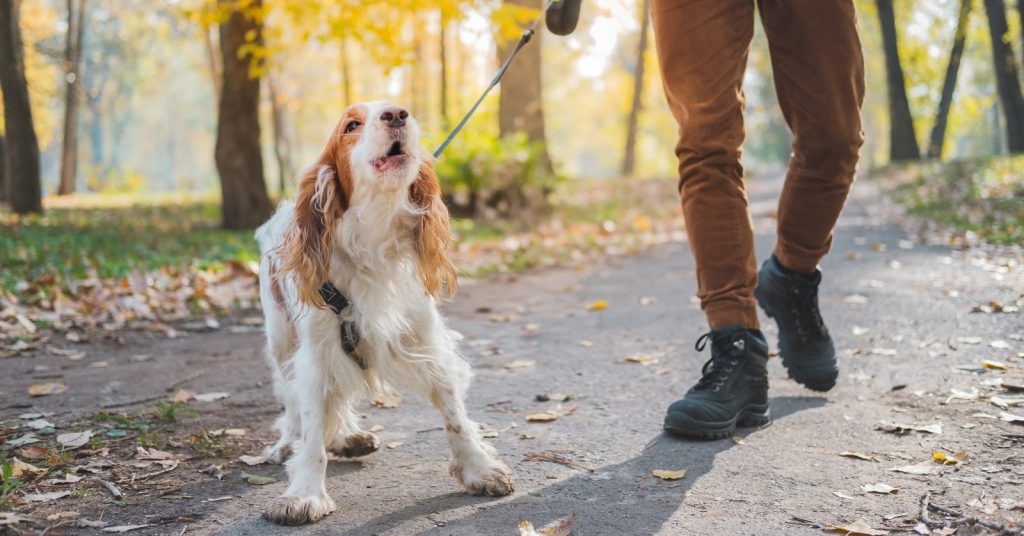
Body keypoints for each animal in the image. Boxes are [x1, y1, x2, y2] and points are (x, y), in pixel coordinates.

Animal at [252, 101, 516, 528]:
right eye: (351, 125)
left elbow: (454, 413)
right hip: (281, 340)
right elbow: (311, 428)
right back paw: (288, 442)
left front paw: (479, 468)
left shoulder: (426, 339)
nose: (396, 114)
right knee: (291, 400)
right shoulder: (316, 353)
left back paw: (348, 437)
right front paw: (304, 494)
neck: (373, 237)